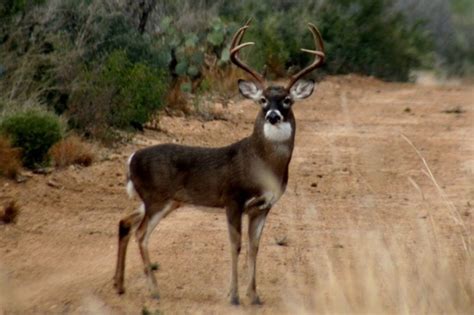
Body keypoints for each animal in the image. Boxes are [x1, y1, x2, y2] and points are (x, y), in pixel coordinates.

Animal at [113, 19, 324, 306]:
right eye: (262, 100)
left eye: (287, 100)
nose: (272, 115)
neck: (261, 166)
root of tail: (131, 158)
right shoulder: (233, 199)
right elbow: (235, 245)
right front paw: (234, 296)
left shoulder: (263, 207)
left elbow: (254, 247)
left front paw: (254, 296)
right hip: (156, 198)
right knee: (141, 234)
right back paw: (154, 290)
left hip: (162, 201)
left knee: (125, 222)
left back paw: (120, 285)